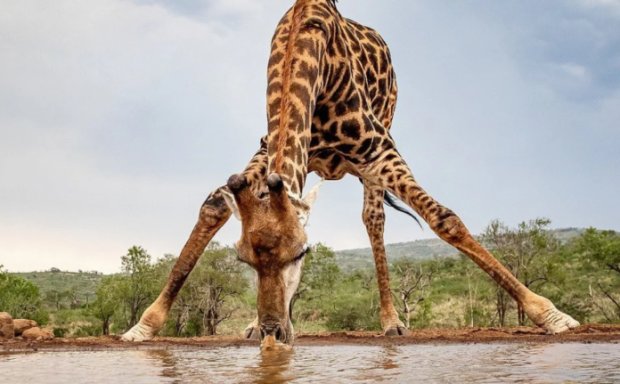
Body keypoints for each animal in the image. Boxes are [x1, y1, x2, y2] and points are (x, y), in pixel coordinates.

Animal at [122, 0, 580, 346]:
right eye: (243, 259)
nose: (272, 332)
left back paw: (391, 322)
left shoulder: (377, 147)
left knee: (374, 219)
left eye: (301, 254)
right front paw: (143, 325)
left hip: (381, 137)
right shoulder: (267, 148)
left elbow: (443, 218)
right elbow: (214, 205)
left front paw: (551, 314)